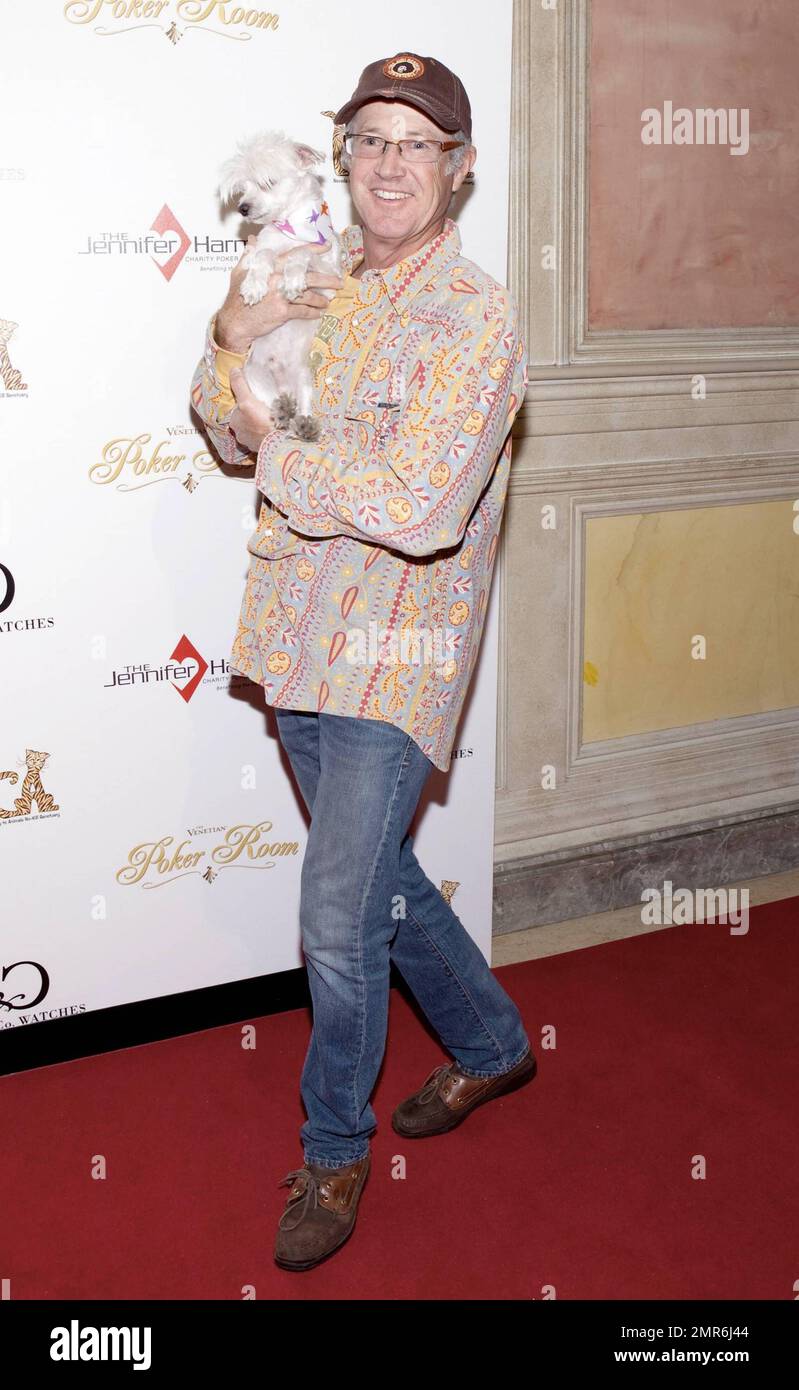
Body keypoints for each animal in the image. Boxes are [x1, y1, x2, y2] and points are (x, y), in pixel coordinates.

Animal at [219, 131, 344, 439]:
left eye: (267, 182)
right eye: (243, 188)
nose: (243, 208)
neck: (292, 228)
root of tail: (283, 383)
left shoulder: (330, 278)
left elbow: (304, 252)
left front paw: (293, 277)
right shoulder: (255, 253)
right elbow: (264, 254)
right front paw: (254, 286)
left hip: (304, 380)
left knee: (302, 410)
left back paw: (304, 423)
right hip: (256, 379)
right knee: (276, 411)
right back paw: (283, 412)